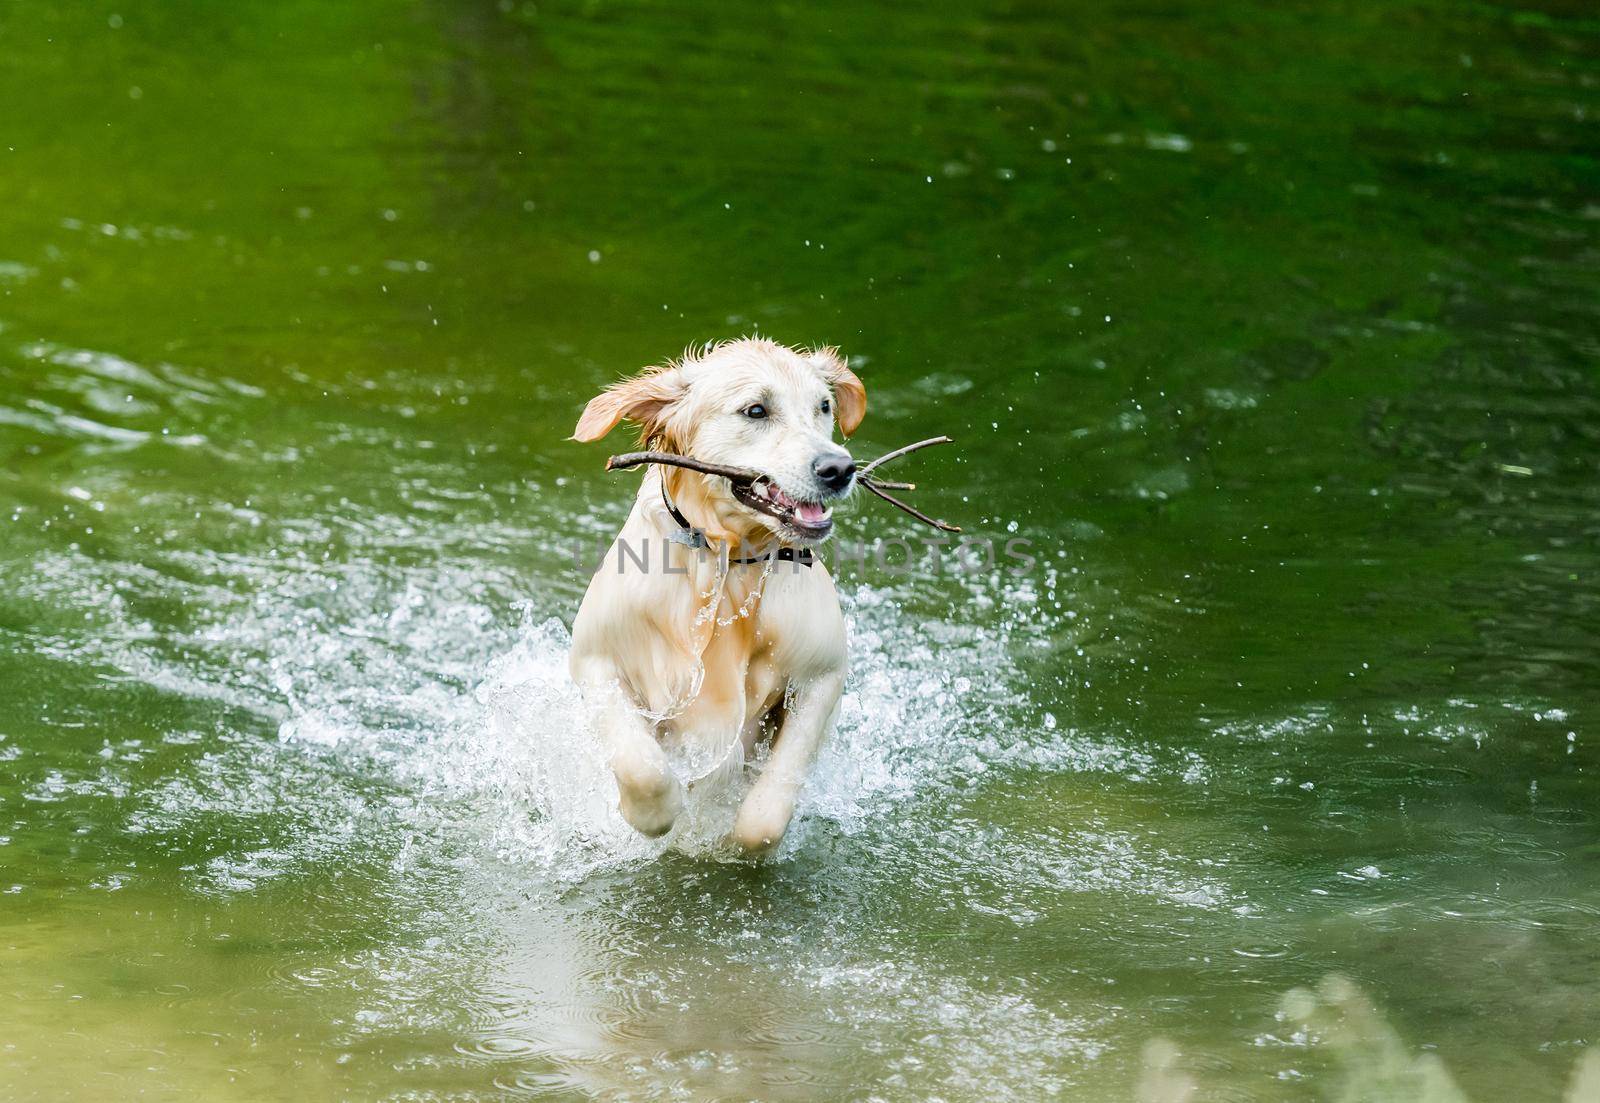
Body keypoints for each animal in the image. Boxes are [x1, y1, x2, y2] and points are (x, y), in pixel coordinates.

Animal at [563, 337, 864, 851]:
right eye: (756, 410)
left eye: (823, 406)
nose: (839, 468)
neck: (730, 558)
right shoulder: (596, 657)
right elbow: (642, 766)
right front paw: (650, 814)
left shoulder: (822, 675)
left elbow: (765, 814)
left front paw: (731, 839)